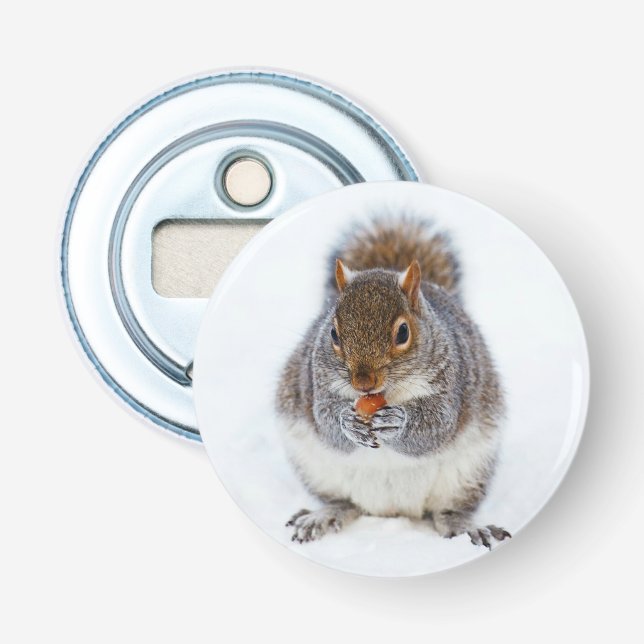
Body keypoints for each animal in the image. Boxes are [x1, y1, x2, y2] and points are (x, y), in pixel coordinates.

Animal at [276, 219, 511, 549]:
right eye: (333, 334)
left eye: (402, 333)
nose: (363, 383)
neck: (386, 394)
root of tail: (392, 510)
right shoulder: (317, 383)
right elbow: (326, 422)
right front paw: (348, 422)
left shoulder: (452, 382)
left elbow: (437, 427)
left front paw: (398, 423)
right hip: (316, 469)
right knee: (344, 503)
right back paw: (323, 516)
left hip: (467, 473)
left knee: (448, 511)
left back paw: (467, 527)